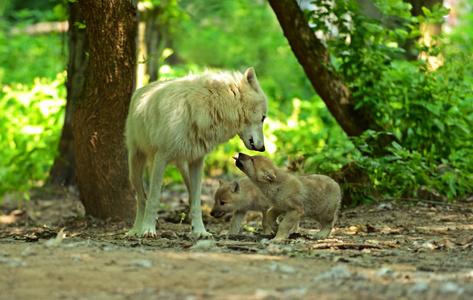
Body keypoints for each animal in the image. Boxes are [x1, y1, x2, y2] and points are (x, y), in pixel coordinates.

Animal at [123, 67, 268, 238]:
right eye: (263, 118)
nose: (263, 148)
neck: (207, 105)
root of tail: (141, 90)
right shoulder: (162, 157)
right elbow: (153, 199)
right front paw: (148, 229)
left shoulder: (197, 161)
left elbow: (197, 202)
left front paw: (200, 231)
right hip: (135, 167)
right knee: (142, 198)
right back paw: (135, 230)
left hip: (182, 166)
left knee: (190, 197)